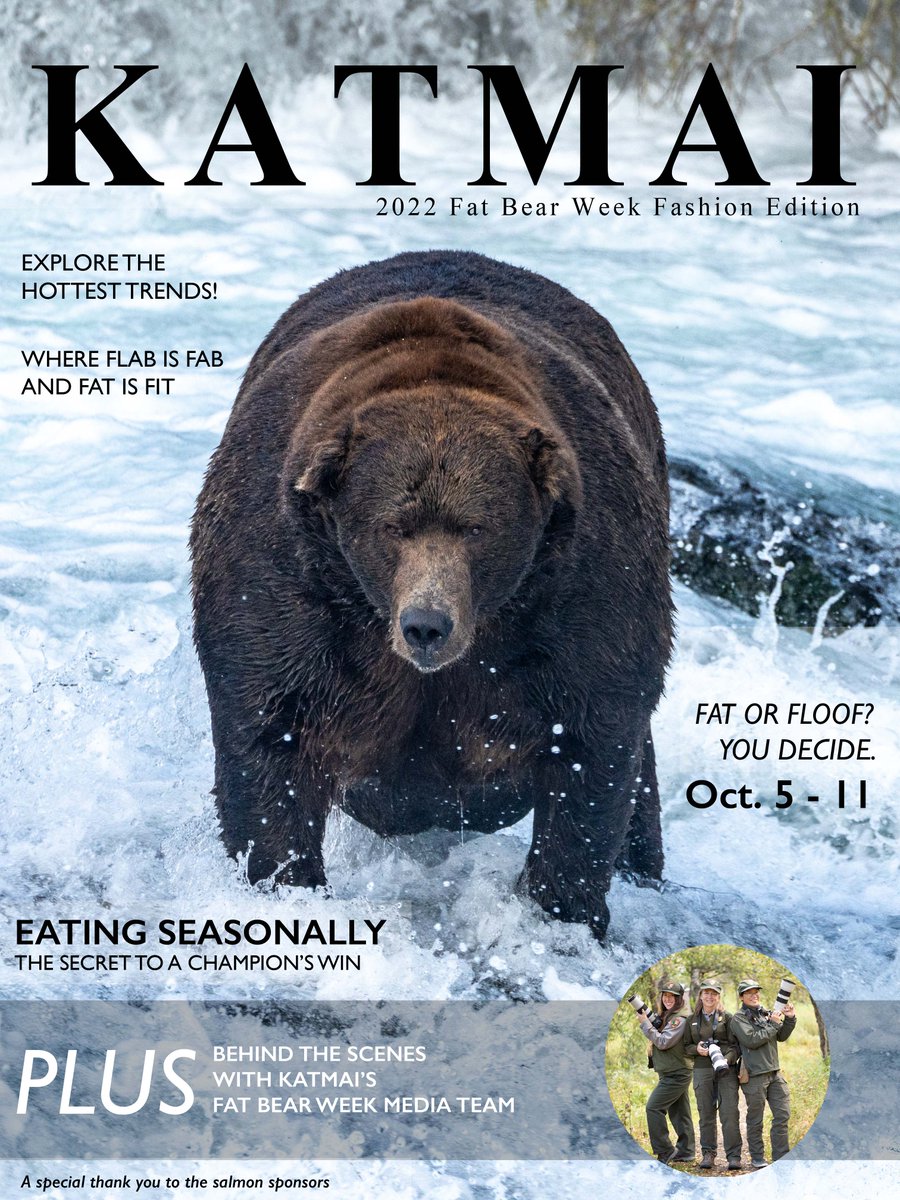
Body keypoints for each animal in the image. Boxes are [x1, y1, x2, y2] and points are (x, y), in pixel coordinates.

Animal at [191, 250, 672, 940]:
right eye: (393, 526)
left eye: (477, 527)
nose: (426, 624)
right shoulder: (286, 572)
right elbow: (270, 729)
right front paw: (285, 882)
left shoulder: (582, 583)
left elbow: (592, 742)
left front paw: (562, 909)